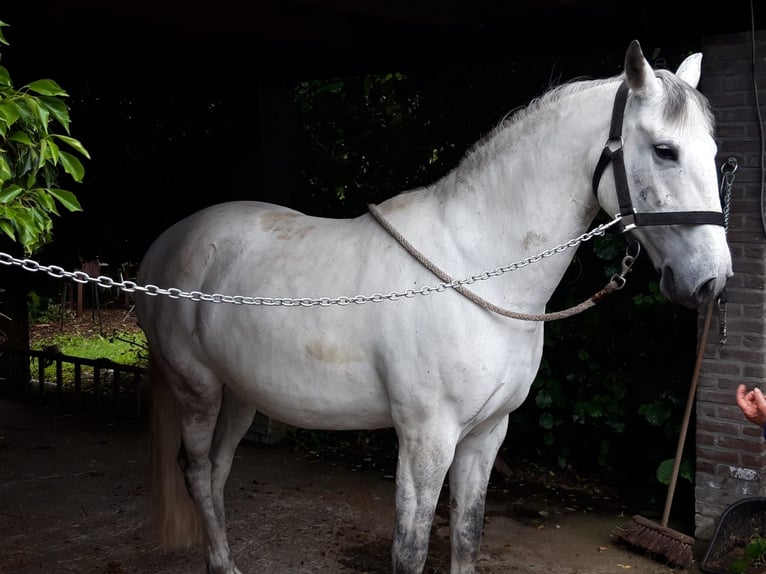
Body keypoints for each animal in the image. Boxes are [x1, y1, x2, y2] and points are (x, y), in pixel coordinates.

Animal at [136, 41, 732, 574]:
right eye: (664, 150)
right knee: (197, 473)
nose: (712, 281)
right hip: (198, 390)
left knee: (216, 473)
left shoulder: (487, 435)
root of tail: (167, 244)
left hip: (240, 393)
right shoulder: (427, 439)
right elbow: (411, 551)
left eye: (713, 153)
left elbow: (467, 538)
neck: (478, 268)